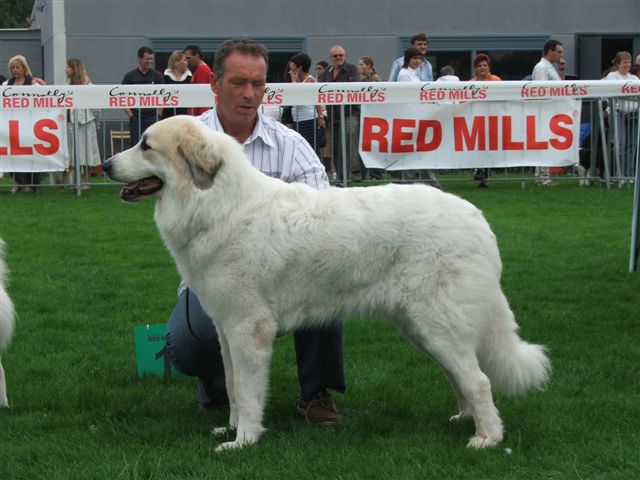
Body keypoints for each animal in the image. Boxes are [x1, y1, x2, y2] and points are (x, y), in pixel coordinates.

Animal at [104, 115, 552, 450]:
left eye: (145, 145)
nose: (106, 166)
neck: (216, 203)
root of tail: (477, 219)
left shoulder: (248, 330)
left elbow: (247, 392)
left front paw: (243, 442)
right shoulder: (225, 330)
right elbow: (231, 386)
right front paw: (230, 428)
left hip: (436, 323)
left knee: (478, 379)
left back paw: (487, 437)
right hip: (422, 328)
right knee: (461, 375)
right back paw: (465, 418)